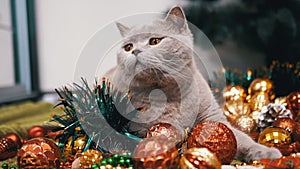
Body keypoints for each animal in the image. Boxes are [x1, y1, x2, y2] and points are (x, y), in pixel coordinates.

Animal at [105, 5, 282, 162]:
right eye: (128, 47)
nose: (135, 51)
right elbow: (160, 126)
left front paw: (266, 152)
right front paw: (178, 132)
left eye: (154, 41)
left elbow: (241, 139)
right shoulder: (136, 123)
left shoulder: (213, 117)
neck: (172, 94)